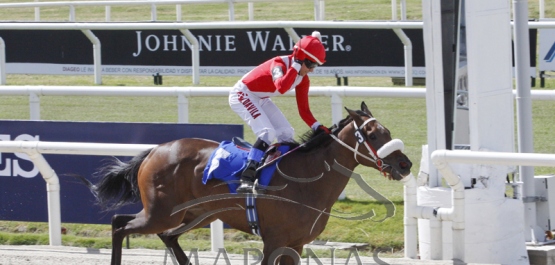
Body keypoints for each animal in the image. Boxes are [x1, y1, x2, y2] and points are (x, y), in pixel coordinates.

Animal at [83, 101, 412, 264]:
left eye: (388, 131)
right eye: (373, 135)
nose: (404, 164)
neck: (306, 179)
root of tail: (154, 150)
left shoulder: (296, 244)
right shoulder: (274, 241)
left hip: (195, 214)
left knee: (159, 233)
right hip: (161, 212)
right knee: (120, 224)